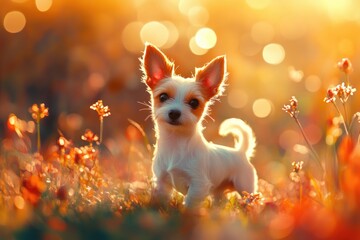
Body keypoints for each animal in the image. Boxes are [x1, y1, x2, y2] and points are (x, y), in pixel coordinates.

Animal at [141, 43, 258, 208]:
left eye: (194, 103)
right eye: (163, 97)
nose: (174, 113)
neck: (176, 142)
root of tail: (240, 152)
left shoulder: (198, 184)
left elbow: (190, 203)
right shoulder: (162, 182)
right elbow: (162, 199)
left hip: (245, 187)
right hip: (219, 192)